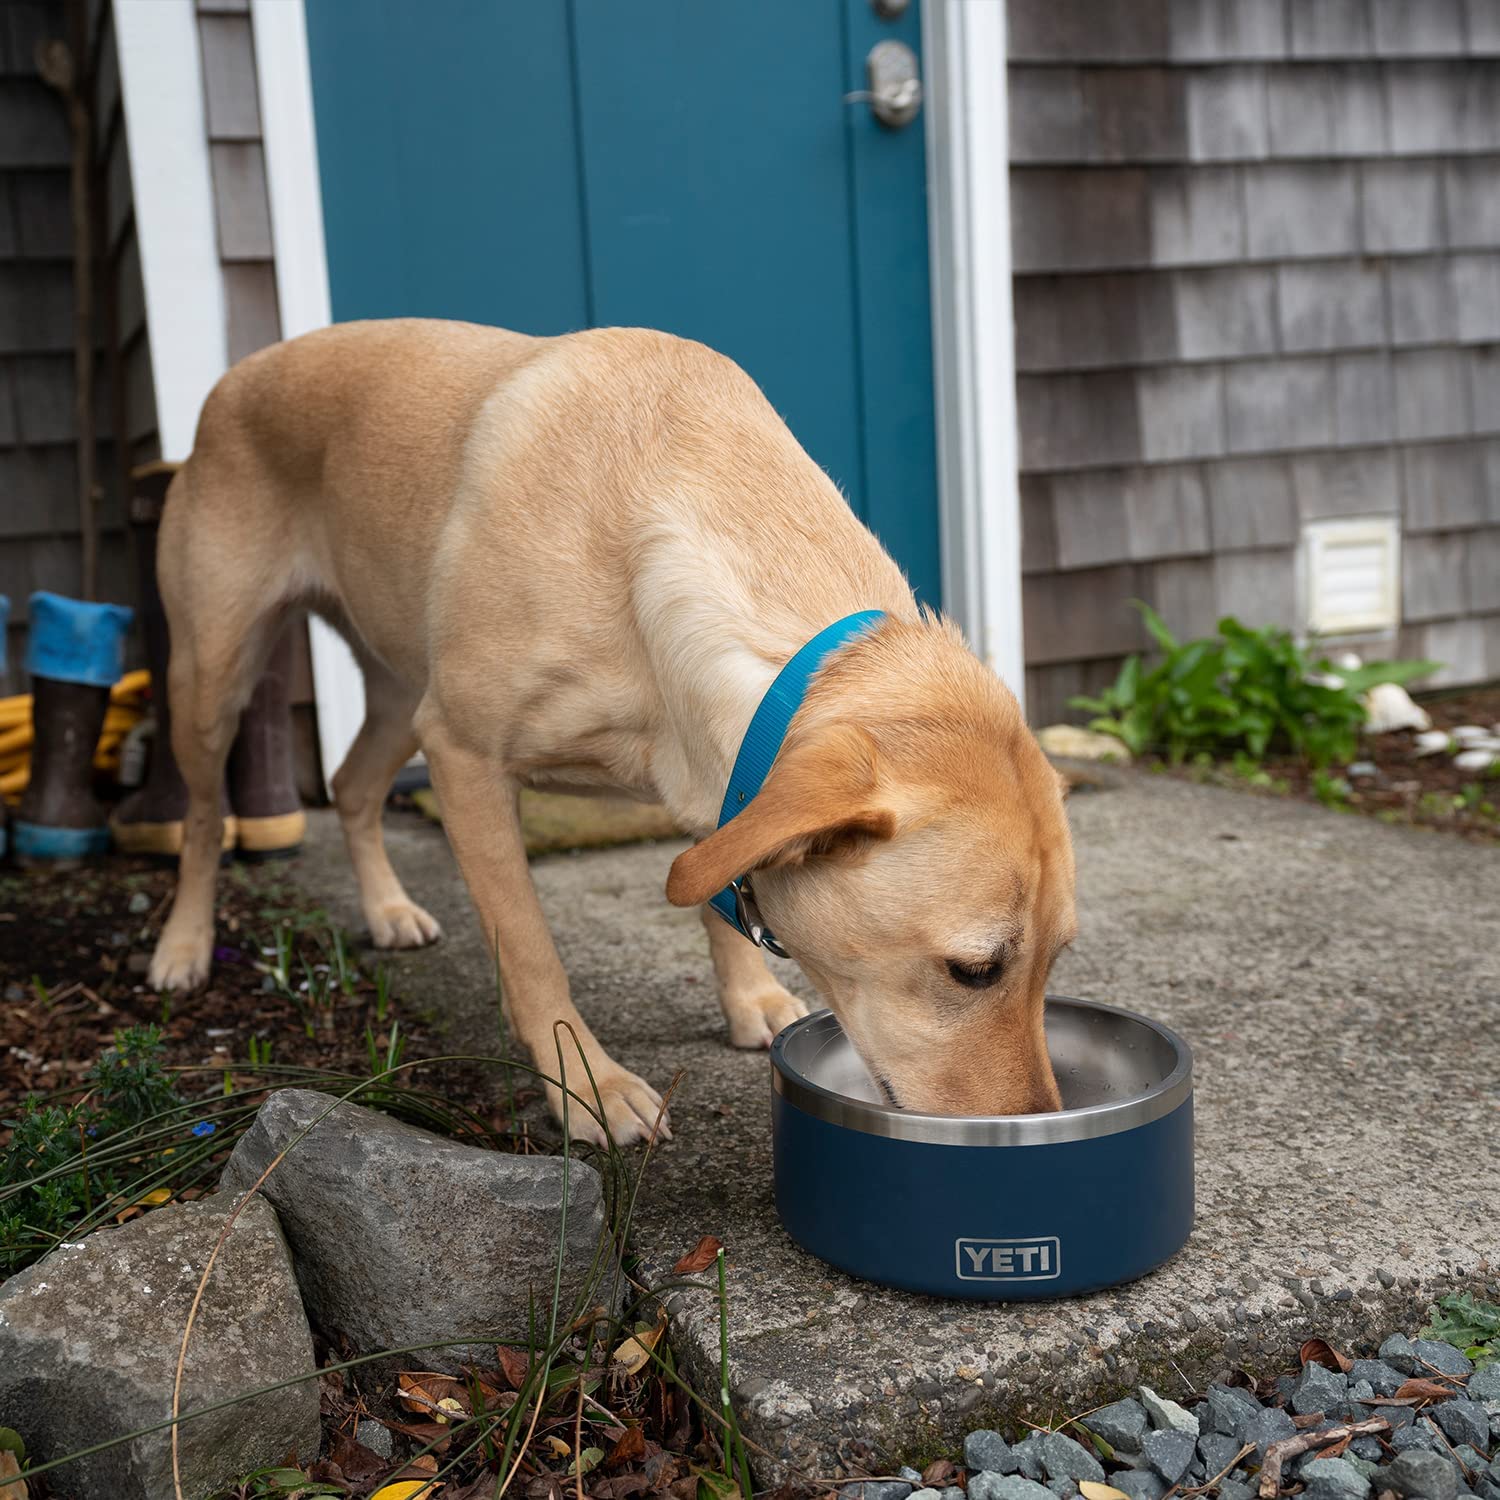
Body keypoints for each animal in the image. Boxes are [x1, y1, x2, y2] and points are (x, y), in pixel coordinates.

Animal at [146, 316, 1074, 1134]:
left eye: (1056, 961)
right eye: (974, 970)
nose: (1034, 1129)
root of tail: (235, 378)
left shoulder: (722, 778)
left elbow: (717, 897)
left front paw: (748, 999)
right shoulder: (465, 757)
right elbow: (531, 953)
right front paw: (588, 1086)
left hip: (400, 692)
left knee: (350, 785)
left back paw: (385, 908)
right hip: (214, 682)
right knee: (204, 817)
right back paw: (182, 946)